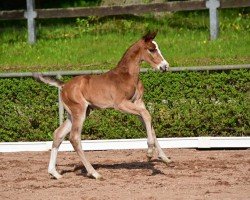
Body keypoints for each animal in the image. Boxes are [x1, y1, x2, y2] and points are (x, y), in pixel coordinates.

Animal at [35, 31, 172, 180]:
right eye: (152, 49)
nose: (165, 66)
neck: (128, 75)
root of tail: (64, 85)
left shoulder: (138, 103)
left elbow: (149, 121)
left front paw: (165, 158)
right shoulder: (121, 104)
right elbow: (147, 115)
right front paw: (149, 152)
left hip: (77, 113)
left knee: (58, 134)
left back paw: (54, 173)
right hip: (79, 111)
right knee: (74, 138)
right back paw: (94, 173)